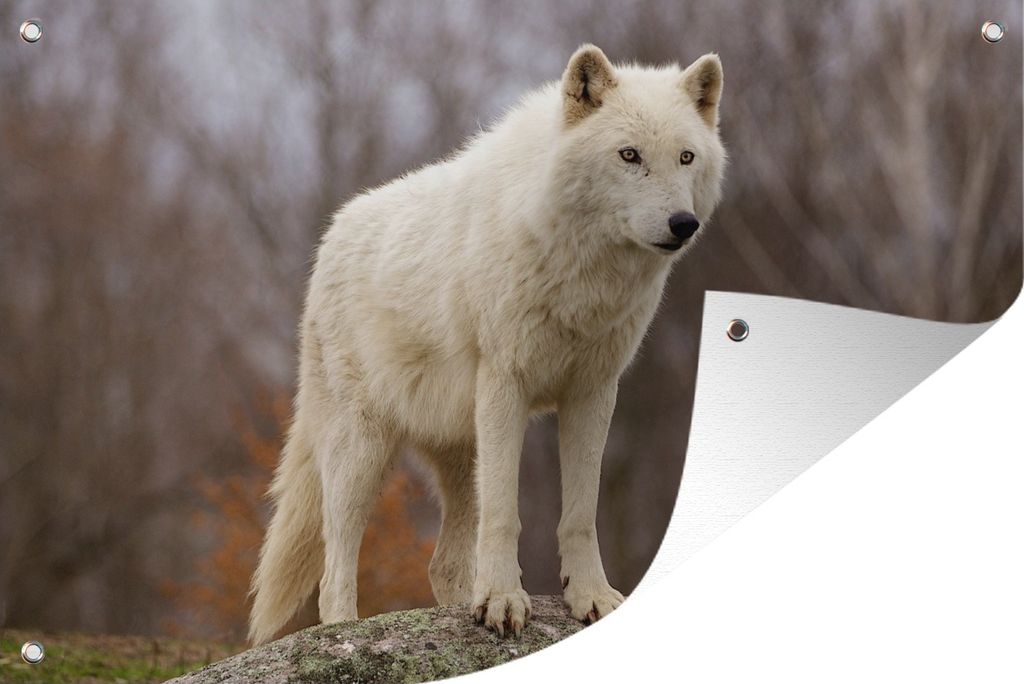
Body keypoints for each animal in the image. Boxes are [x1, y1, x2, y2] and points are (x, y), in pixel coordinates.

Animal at [248, 44, 726, 644]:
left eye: (686, 157)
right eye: (629, 155)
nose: (682, 224)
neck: (581, 272)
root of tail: (331, 235)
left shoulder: (593, 392)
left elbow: (581, 513)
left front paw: (589, 597)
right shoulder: (506, 384)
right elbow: (505, 514)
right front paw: (501, 600)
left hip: (458, 449)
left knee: (443, 564)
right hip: (362, 450)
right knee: (335, 566)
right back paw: (347, 634)